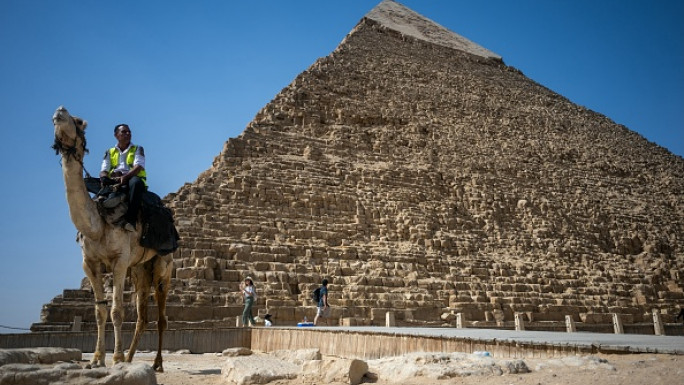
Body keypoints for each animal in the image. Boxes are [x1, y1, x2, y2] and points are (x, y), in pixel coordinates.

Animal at [52, 106, 172, 370]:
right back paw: (130, 357)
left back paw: (156, 363)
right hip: (139, 271)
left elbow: (117, 311)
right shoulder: (90, 263)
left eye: (78, 121)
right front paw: (97, 359)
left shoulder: (119, 262)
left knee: (161, 318)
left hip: (162, 268)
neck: (97, 225)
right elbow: (100, 312)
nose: (59, 111)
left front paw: (115, 358)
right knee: (142, 317)